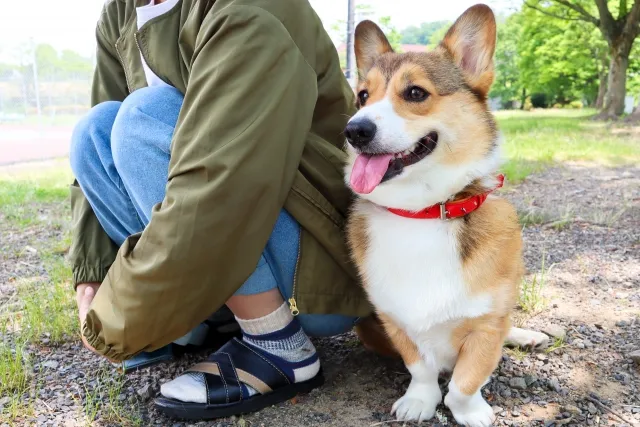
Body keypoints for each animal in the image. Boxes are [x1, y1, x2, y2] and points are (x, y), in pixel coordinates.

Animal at [342, 4, 536, 427]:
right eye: (362, 96)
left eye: (415, 93)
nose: (354, 130)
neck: (425, 212)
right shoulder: (394, 320)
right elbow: (421, 369)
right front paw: (419, 401)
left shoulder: (486, 326)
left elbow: (465, 382)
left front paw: (471, 412)